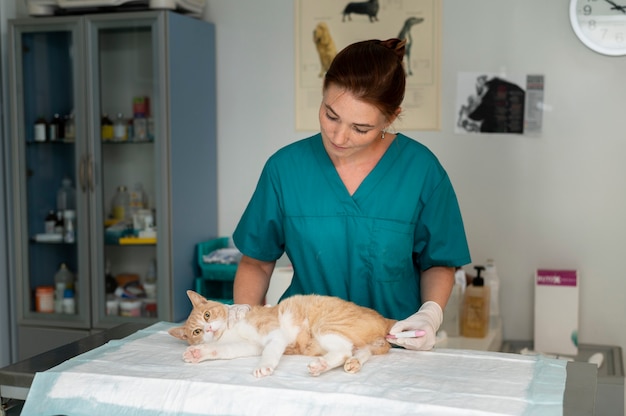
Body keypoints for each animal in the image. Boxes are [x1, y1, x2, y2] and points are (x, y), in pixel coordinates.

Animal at [168, 290, 394, 378]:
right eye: (197, 331)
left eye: (207, 315)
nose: (209, 329)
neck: (229, 331)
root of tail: (382, 319)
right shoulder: (248, 346)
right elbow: (221, 350)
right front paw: (197, 353)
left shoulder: (275, 334)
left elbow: (269, 352)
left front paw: (264, 366)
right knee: (360, 351)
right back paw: (351, 363)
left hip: (326, 326)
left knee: (344, 350)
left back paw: (321, 364)